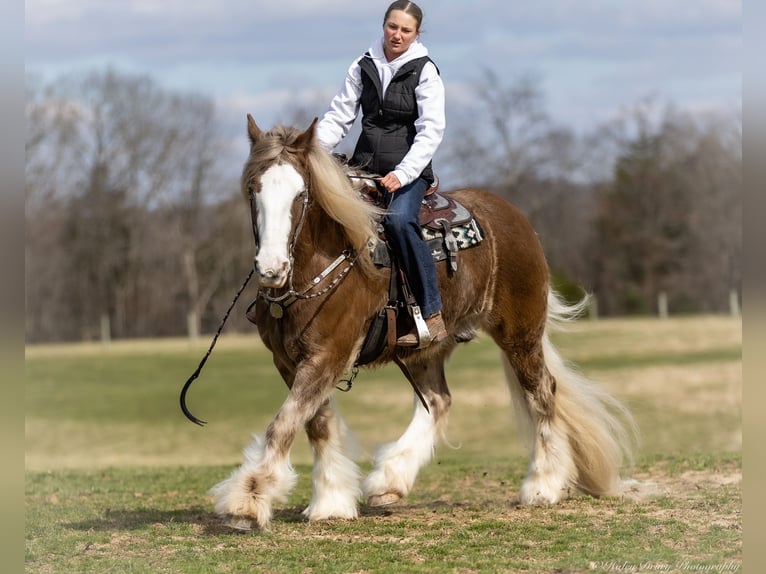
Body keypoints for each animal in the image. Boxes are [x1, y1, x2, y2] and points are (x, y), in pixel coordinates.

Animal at [207, 115, 640, 532]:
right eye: (253, 190)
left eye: (302, 195)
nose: (271, 268)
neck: (322, 263)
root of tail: (515, 218)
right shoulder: (290, 361)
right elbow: (317, 424)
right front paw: (330, 502)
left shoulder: (327, 355)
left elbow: (284, 424)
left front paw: (247, 502)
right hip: (427, 346)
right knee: (438, 400)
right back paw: (390, 480)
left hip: (521, 335)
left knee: (542, 393)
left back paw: (542, 485)